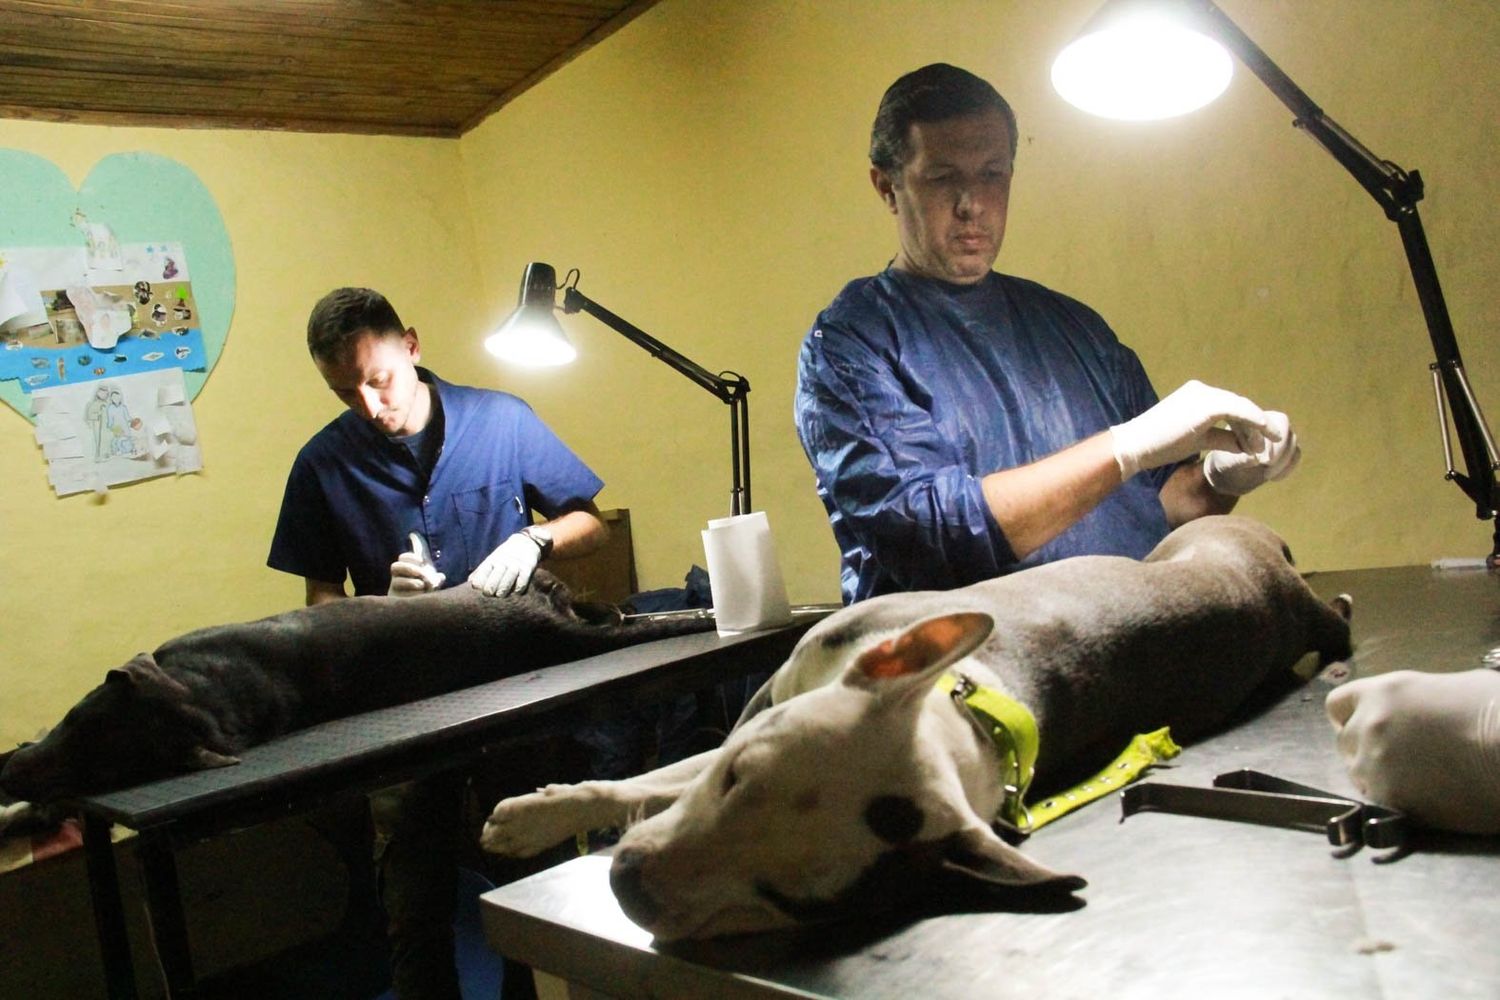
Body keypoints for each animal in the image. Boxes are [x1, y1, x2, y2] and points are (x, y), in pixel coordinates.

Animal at [483, 521, 1362, 941]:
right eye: (737, 779)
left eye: (789, 900)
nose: (628, 885)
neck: (968, 711)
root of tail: (1278, 585)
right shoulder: (759, 710)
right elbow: (647, 779)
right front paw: (535, 817)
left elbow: (655, 785)